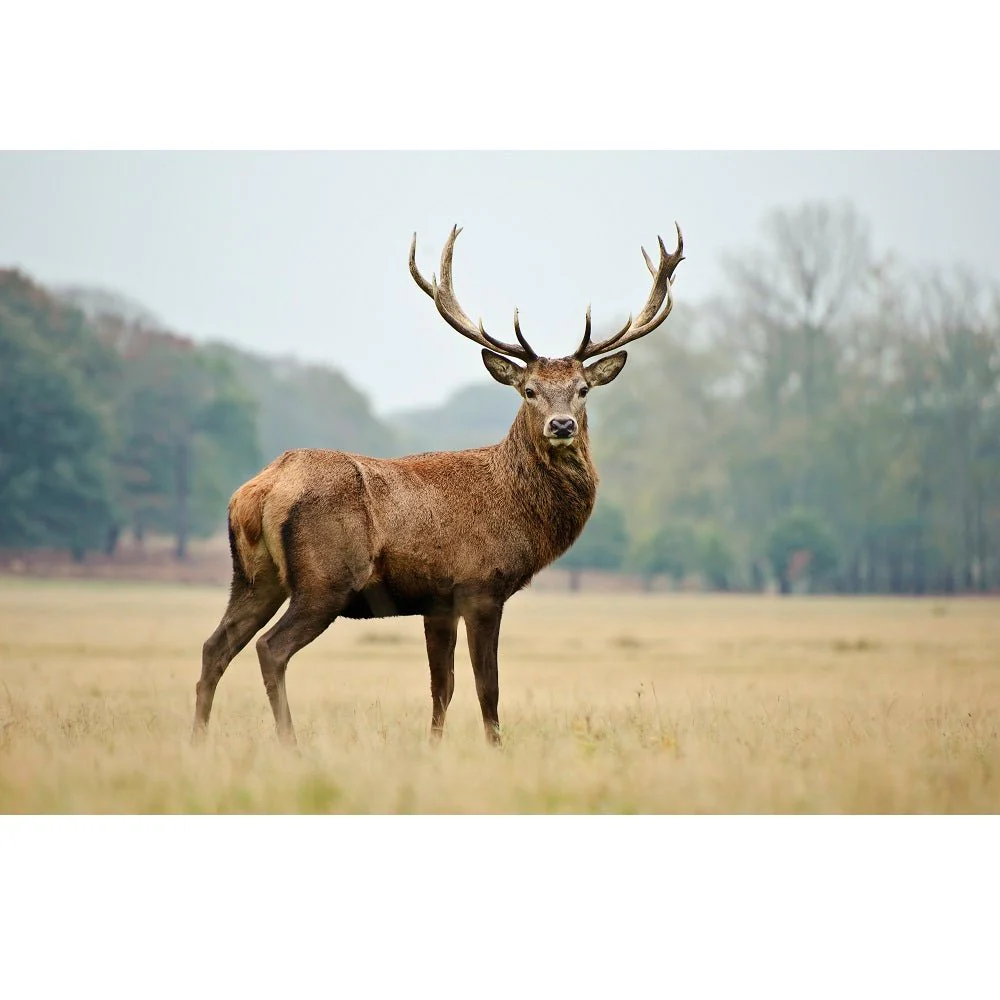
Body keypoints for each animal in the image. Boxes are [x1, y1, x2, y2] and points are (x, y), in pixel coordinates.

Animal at [191, 223, 684, 747]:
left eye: (583, 390)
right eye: (529, 390)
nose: (562, 425)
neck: (518, 511)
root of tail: (258, 491)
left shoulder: (437, 601)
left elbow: (441, 687)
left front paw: (433, 747)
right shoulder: (481, 585)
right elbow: (487, 686)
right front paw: (495, 748)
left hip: (253, 576)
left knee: (215, 646)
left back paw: (197, 740)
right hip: (325, 579)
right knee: (270, 648)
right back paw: (290, 744)